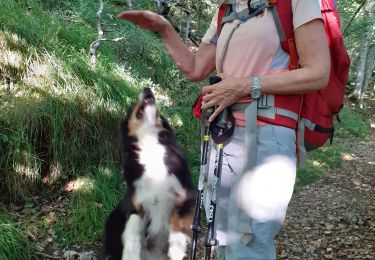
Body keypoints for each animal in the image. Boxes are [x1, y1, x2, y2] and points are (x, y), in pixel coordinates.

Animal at [103, 88, 197, 258]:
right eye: (133, 105)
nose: (147, 89)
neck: (150, 146)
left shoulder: (186, 197)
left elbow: (177, 224)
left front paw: (176, 251)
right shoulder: (135, 205)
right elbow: (133, 230)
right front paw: (130, 255)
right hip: (113, 219)